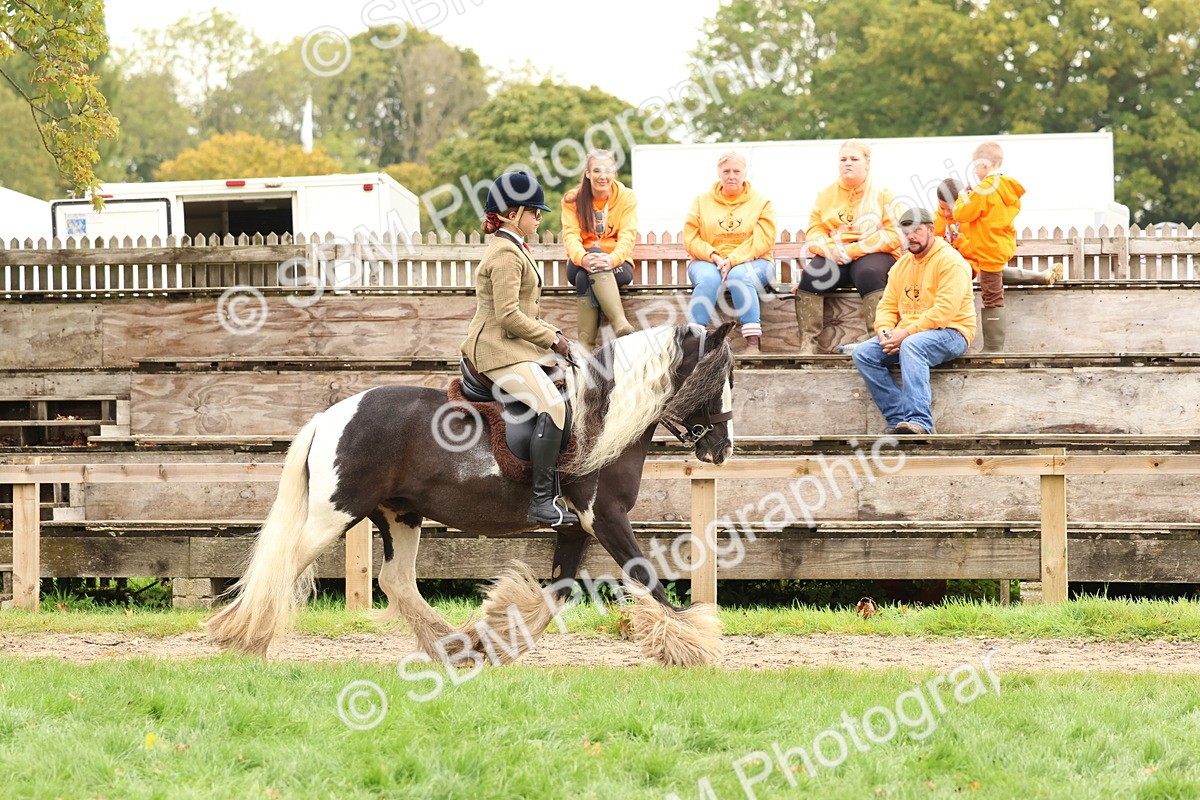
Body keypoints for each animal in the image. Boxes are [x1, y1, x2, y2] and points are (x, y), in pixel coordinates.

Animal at [205, 322, 737, 667]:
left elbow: (558, 590)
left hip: (399, 516)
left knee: (396, 581)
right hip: (334, 515)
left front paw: (496, 642)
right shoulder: (605, 517)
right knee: (283, 565)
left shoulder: (578, 526)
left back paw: (453, 647)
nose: (722, 449)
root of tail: (329, 416)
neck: (600, 419)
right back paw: (242, 636)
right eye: (720, 380)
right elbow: (648, 579)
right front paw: (697, 646)